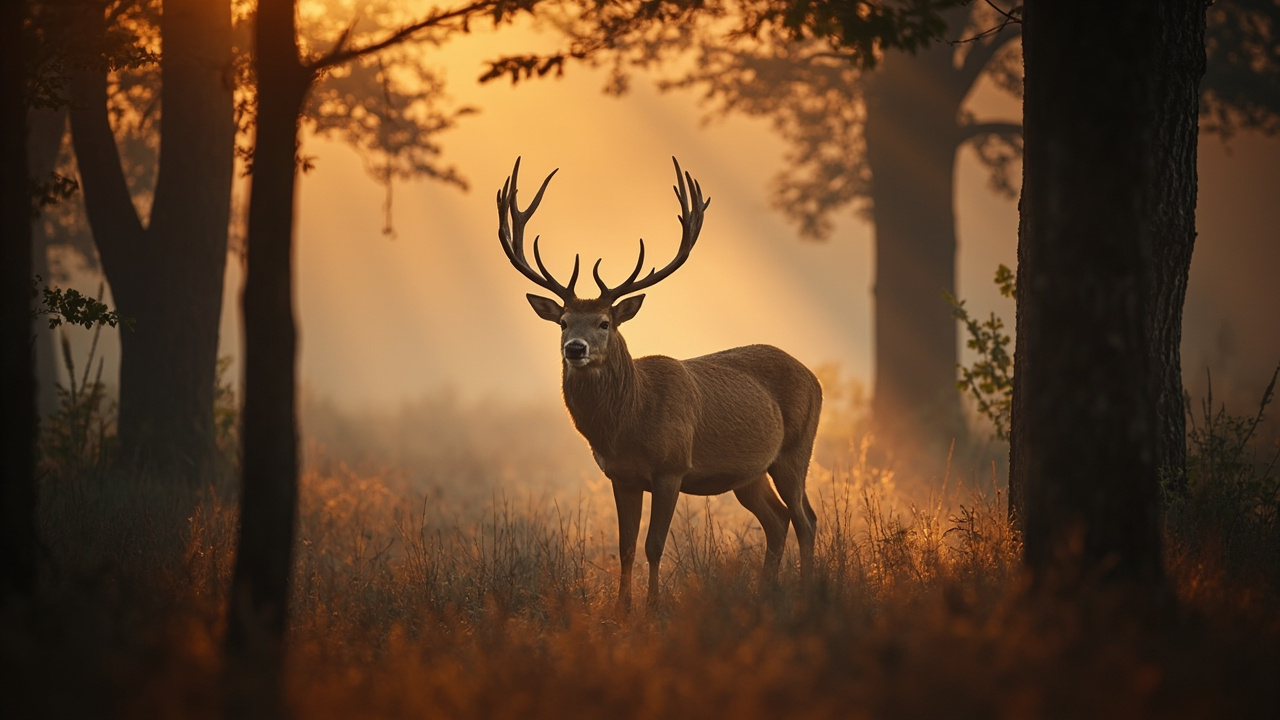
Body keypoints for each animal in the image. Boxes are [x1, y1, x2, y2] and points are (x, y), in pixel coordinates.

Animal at [495, 156, 822, 611]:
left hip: (796, 448)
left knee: (806, 519)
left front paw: (651, 609)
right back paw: (766, 593)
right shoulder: (620, 476)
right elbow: (626, 546)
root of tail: (814, 376)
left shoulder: (672, 467)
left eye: (605, 322)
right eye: (562, 322)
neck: (629, 422)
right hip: (749, 474)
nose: (575, 348)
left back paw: (806, 592)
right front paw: (622, 610)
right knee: (777, 520)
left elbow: (654, 545)